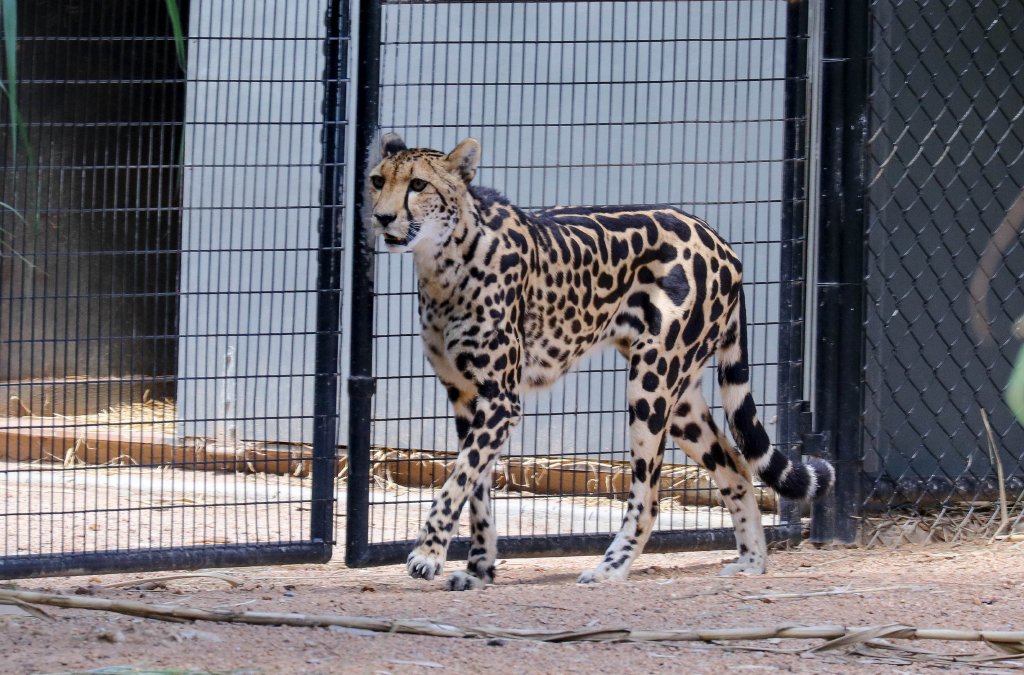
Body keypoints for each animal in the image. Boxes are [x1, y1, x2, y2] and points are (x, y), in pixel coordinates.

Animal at [367, 133, 834, 591]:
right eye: (377, 180)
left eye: (418, 184)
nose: (382, 218)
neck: (444, 261)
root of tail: (719, 240)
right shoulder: (466, 397)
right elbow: (476, 487)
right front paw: (480, 568)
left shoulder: (501, 401)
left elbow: (457, 479)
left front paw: (428, 553)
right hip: (681, 399)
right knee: (736, 466)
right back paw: (752, 561)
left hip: (651, 383)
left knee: (649, 495)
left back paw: (611, 567)